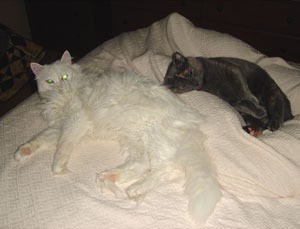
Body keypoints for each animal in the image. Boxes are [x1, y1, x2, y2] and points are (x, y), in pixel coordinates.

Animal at [14, 50, 220, 224]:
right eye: (50, 81)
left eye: (65, 77)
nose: (61, 86)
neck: (65, 98)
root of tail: (193, 124)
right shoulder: (58, 126)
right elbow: (40, 139)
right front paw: (21, 152)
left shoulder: (75, 122)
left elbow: (62, 147)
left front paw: (58, 167)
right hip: (134, 138)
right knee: (143, 164)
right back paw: (112, 177)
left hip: (151, 137)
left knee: (165, 169)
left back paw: (135, 188)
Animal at [164, 52, 292, 136]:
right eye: (183, 86)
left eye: (190, 72)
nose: (195, 82)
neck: (207, 80)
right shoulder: (229, 97)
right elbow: (240, 103)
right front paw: (258, 110)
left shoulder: (233, 70)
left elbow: (242, 90)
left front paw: (252, 100)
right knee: (260, 125)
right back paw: (253, 128)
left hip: (271, 91)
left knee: (277, 107)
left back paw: (273, 123)